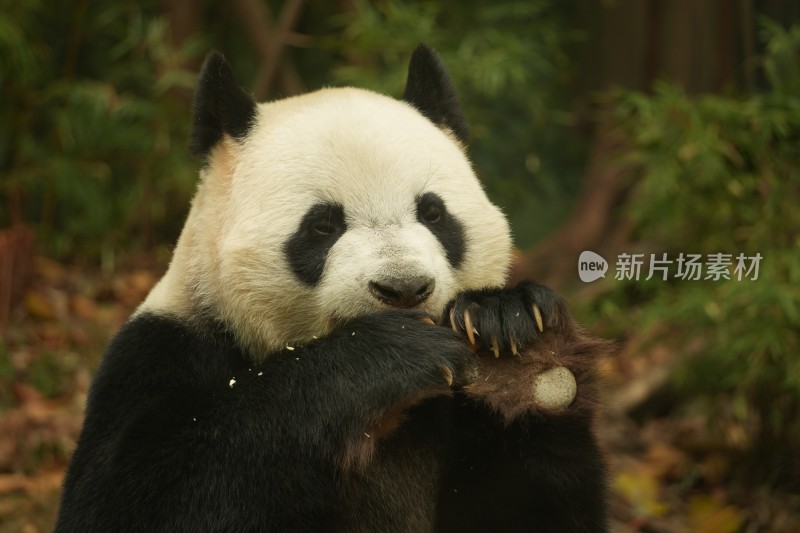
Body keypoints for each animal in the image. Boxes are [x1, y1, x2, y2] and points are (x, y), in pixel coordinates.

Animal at [54, 46, 608, 532]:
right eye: (322, 225)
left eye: (433, 213)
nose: (404, 288)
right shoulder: (164, 349)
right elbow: (134, 495)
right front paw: (391, 357)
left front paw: (512, 334)